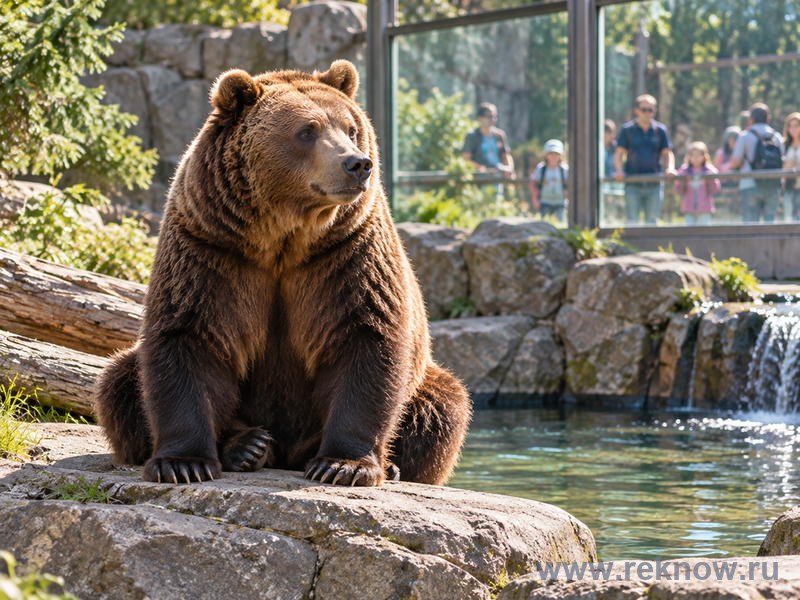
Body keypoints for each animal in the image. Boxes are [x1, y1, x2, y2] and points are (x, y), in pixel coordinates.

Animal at [93, 60, 472, 487]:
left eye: (350, 127)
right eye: (307, 131)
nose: (357, 163)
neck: (282, 239)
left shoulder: (347, 252)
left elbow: (366, 335)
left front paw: (343, 465)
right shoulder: (209, 249)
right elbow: (188, 336)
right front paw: (183, 463)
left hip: (421, 384)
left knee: (443, 407)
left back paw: (375, 462)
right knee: (120, 383)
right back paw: (247, 445)